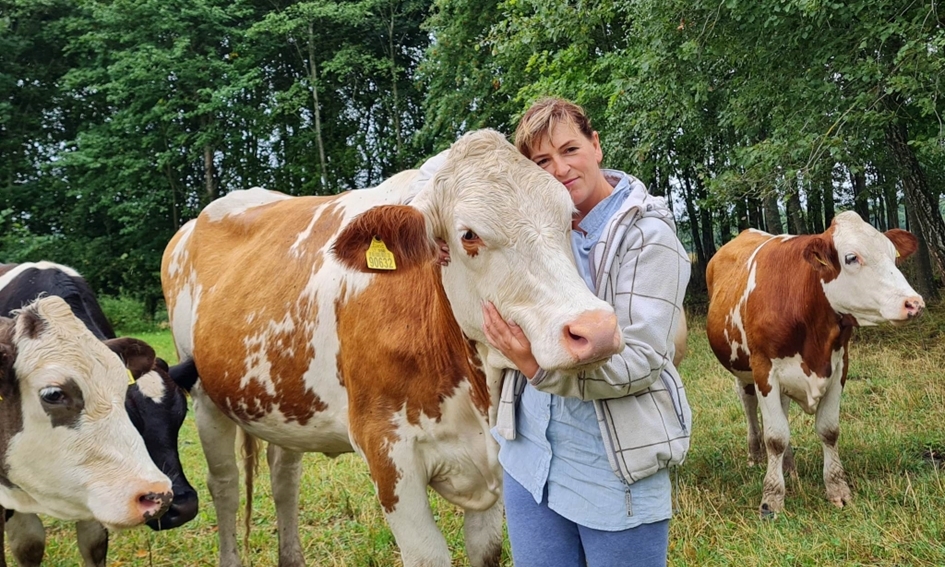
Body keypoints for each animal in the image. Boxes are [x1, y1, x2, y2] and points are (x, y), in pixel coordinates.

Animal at [162, 130, 620, 567]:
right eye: (469, 235)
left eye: (568, 218)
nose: (595, 328)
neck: (475, 389)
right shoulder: (386, 451)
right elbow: (428, 555)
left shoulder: (492, 462)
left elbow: (486, 549)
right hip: (204, 395)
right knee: (224, 485)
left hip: (284, 398)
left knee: (284, 476)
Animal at [708, 211, 920, 516]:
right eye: (851, 258)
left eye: (893, 255)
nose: (913, 303)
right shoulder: (764, 369)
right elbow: (775, 437)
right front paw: (771, 499)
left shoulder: (840, 365)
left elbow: (828, 431)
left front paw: (838, 489)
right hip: (742, 368)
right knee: (748, 404)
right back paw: (755, 455)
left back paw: (789, 466)